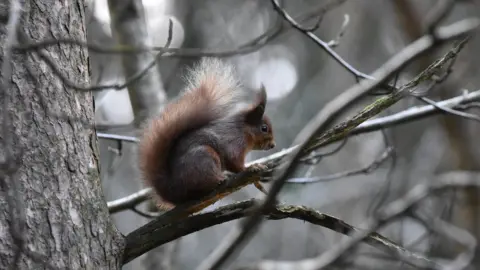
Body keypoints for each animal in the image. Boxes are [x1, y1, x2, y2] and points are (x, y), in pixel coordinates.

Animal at [137, 57, 276, 209]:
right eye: (264, 128)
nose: (273, 145)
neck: (243, 130)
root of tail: (174, 191)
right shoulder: (234, 142)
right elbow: (234, 162)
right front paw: (251, 167)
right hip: (204, 158)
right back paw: (219, 179)